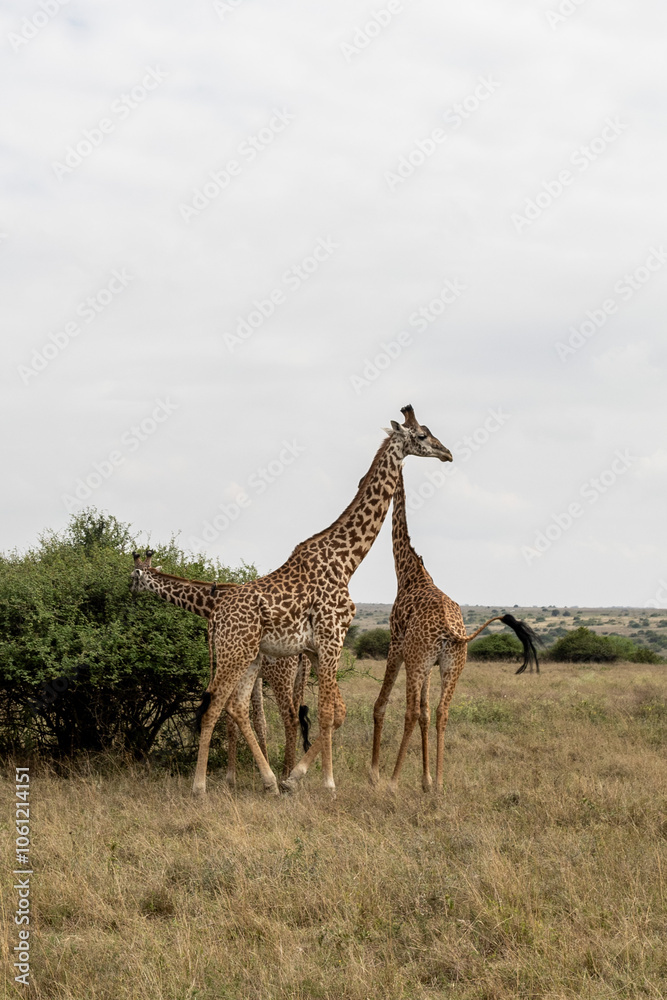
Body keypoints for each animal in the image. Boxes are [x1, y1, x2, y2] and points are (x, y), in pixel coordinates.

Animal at [129, 553, 311, 781]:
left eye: (132, 576)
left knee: (290, 718)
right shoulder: (256, 675)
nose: (130, 589)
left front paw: (231, 777)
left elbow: (230, 720)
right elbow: (260, 721)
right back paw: (293, 770)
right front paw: (262, 768)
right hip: (300, 675)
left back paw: (287, 773)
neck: (212, 602)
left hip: (281, 675)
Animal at [193, 404, 453, 797]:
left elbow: (333, 710)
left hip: (250, 656)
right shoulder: (333, 637)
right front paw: (327, 783)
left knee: (234, 706)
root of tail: (214, 619)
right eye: (422, 435)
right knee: (213, 706)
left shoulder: (315, 647)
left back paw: (269, 781)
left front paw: (295, 777)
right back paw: (200, 786)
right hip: (234, 652)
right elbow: (328, 710)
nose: (447, 453)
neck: (347, 560)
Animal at [370, 464, 540, 793]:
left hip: (418, 661)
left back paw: (394, 781)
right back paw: (438, 783)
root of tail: (453, 630)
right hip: (451, 664)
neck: (408, 572)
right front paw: (425, 780)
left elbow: (382, 705)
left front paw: (374, 774)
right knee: (441, 711)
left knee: (410, 711)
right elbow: (426, 712)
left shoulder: (396, 645)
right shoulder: (428, 663)